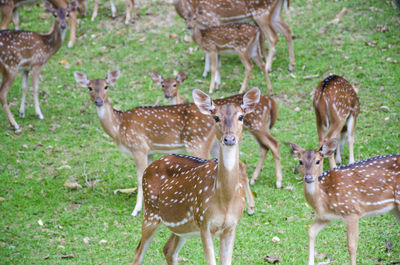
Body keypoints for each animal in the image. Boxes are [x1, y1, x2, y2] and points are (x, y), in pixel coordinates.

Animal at [0, 0, 78, 132]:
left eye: (67, 14)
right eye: (55, 15)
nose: (63, 25)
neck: (47, 45)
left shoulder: (25, 68)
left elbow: (24, 87)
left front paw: (22, 113)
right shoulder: (37, 63)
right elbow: (35, 87)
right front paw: (39, 114)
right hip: (10, 66)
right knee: (2, 93)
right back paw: (15, 125)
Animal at [74, 68, 258, 217]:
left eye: (106, 87)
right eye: (89, 88)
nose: (98, 101)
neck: (118, 129)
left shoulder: (138, 147)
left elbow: (139, 177)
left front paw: (136, 210)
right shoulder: (149, 151)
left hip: (197, 143)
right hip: (214, 144)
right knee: (241, 164)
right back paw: (250, 207)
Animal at [133, 87, 260, 264]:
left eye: (241, 117)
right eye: (216, 117)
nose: (229, 139)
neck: (225, 200)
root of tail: (149, 167)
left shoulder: (231, 226)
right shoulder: (204, 222)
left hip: (181, 227)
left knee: (168, 249)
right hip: (151, 211)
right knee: (138, 253)